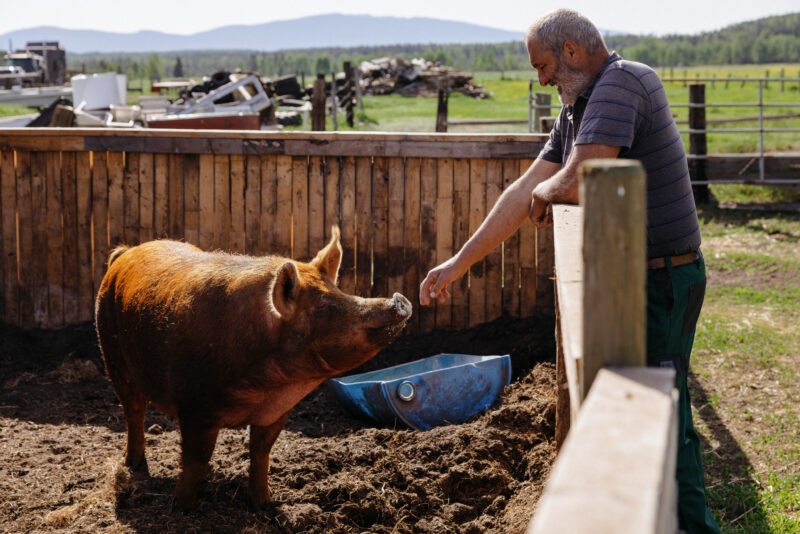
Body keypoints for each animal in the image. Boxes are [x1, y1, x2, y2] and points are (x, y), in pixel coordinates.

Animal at [94, 227, 412, 510]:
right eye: (325, 308)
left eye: (340, 292)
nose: (399, 299)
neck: (267, 387)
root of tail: (125, 253)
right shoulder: (196, 405)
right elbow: (196, 459)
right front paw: (182, 507)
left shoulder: (276, 412)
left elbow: (261, 453)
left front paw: (264, 505)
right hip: (113, 356)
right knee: (134, 412)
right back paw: (135, 465)